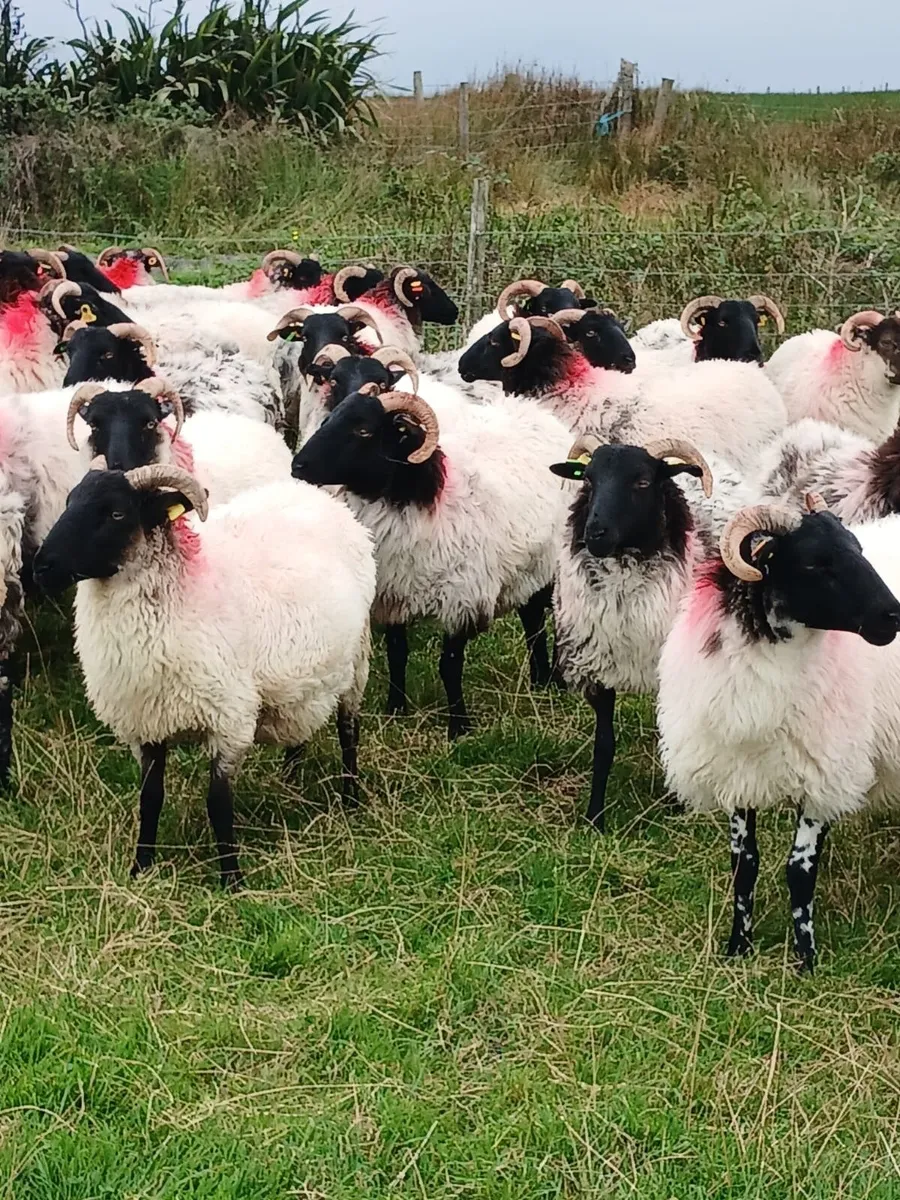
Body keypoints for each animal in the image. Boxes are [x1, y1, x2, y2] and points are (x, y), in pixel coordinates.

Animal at [33, 464, 376, 889]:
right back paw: (291, 781)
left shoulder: (230, 721)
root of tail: (323, 499)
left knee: (349, 731)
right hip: (303, 680)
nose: (41, 567)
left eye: (116, 513)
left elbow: (218, 803)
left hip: (357, 659)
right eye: (69, 502)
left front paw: (232, 879)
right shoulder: (147, 724)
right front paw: (141, 867)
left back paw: (350, 800)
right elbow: (150, 799)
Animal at [292, 387, 573, 736]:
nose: (297, 466)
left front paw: (459, 727)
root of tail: (537, 411)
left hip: (552, 563)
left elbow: (449, 666)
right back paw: (539, 680)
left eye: (364, 430)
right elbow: (397, 654)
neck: (418, 498)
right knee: (532, 618)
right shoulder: (392, 595)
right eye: (331, 417)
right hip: (529, 567)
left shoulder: (463, 600)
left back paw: (555, 681)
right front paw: (396, 709)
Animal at [549, 433, 753, 828]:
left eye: (642, 482)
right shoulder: (599, 668)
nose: (595, 533)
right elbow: (604, 744)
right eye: (588, 480)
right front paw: (594, 816)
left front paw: (676, 803)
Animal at [657, 494, 900, 971]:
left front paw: (806, 961)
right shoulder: (736, 775)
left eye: (857, 548)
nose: (893, 616)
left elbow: (799, 870)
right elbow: (744, 864)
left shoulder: (826, 776)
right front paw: (738, 947)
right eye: (813, 562)